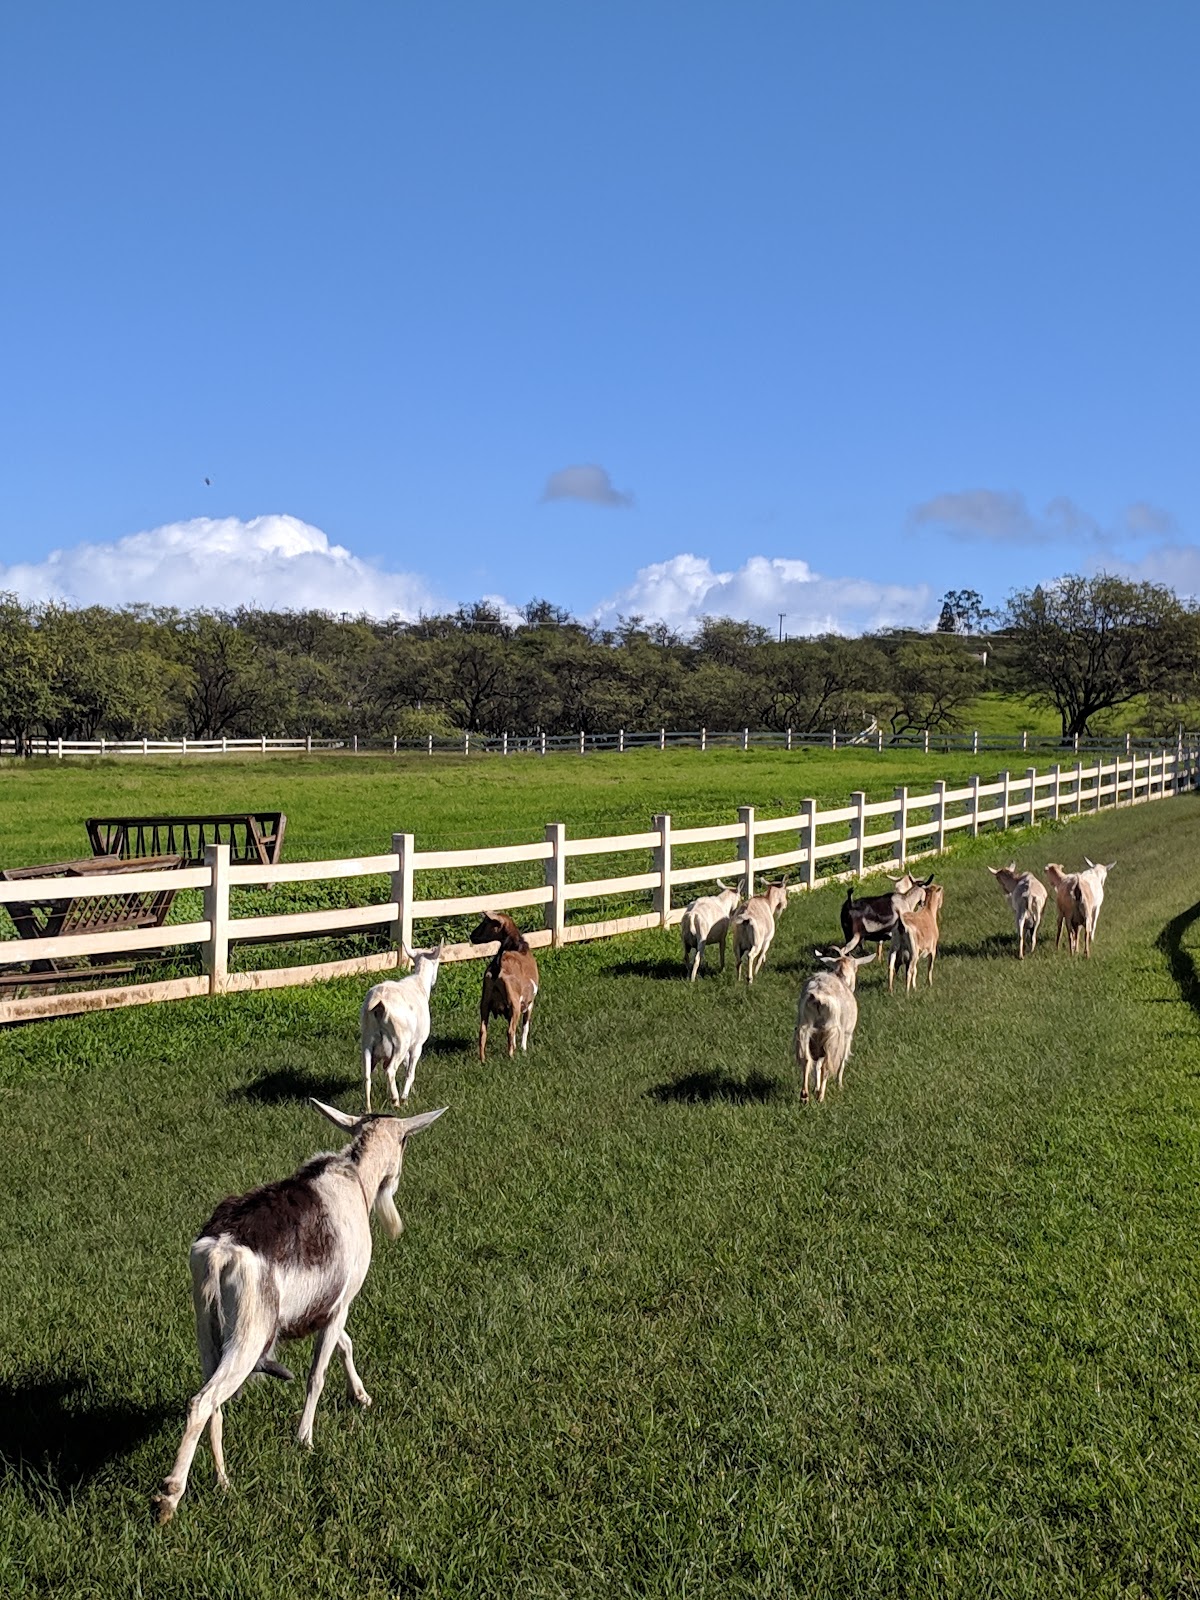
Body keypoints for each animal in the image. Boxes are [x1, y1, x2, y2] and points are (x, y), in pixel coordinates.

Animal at [153, 1099, 446, 1524]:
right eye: (405, 1140)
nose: (396, 1178)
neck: (355, 1178)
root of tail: (220, 1251)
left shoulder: (328, 1305)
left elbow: (344, 1345)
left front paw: (361, 1397)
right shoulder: (342, 1302)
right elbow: (317, 1373)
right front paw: (305, 1439)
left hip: (206, 1326)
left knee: (214, 1401)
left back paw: (224, 1482)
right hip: (249, 1333)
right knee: (201, 1403)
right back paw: (168, 1499)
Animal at [360, 948, 442, 1111]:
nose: (434, 980)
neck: (419, 983)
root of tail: (379, 1001)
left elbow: (405, 1065)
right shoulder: (417, 1044)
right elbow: (410, 1071)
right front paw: (405, 1098)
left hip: (367, 1039)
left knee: (367, 1074)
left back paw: (368, 1108)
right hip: (400, 1041)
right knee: (390, 1070)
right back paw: (396, 1101)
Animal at [469, 910, 539, 1060]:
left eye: (486, 923)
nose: (472, 935)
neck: (517, 946)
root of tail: (498, 968)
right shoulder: (529, 1003)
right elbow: (525, 1026)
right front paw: (523, 1048)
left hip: (485, 1002)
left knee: (482, 1031)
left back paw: (483, 1060)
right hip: (514, 1003)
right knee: (510, 1030)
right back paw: (511, 1057)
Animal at [795, 946, 875, 1103]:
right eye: (856, 967)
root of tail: (818, 996)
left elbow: (816, 1063)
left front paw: (816, 1087)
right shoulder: (847, 1034)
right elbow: (842, 1059)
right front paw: (839, 1084)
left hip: (805, 1028)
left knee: (807, 1059)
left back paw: (805, 1095)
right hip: (833, 1033)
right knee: (826, 1064)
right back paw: (820, 1097)